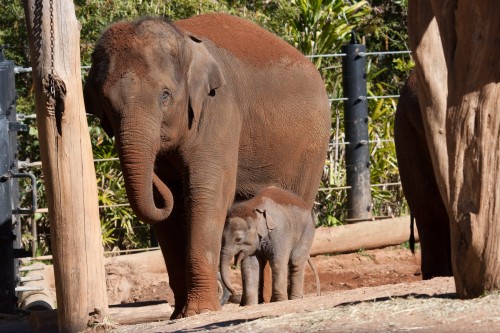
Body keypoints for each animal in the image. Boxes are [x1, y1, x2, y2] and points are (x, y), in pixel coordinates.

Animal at [83, 13, 330, 320]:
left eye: (165, 96)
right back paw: (256, 302)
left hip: (311, 148)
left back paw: (271, 301)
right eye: (105, 102)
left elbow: (208, 194)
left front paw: (200, 311)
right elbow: (170, 216)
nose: (161, 155)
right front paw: (179, 314)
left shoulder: (219, 110)